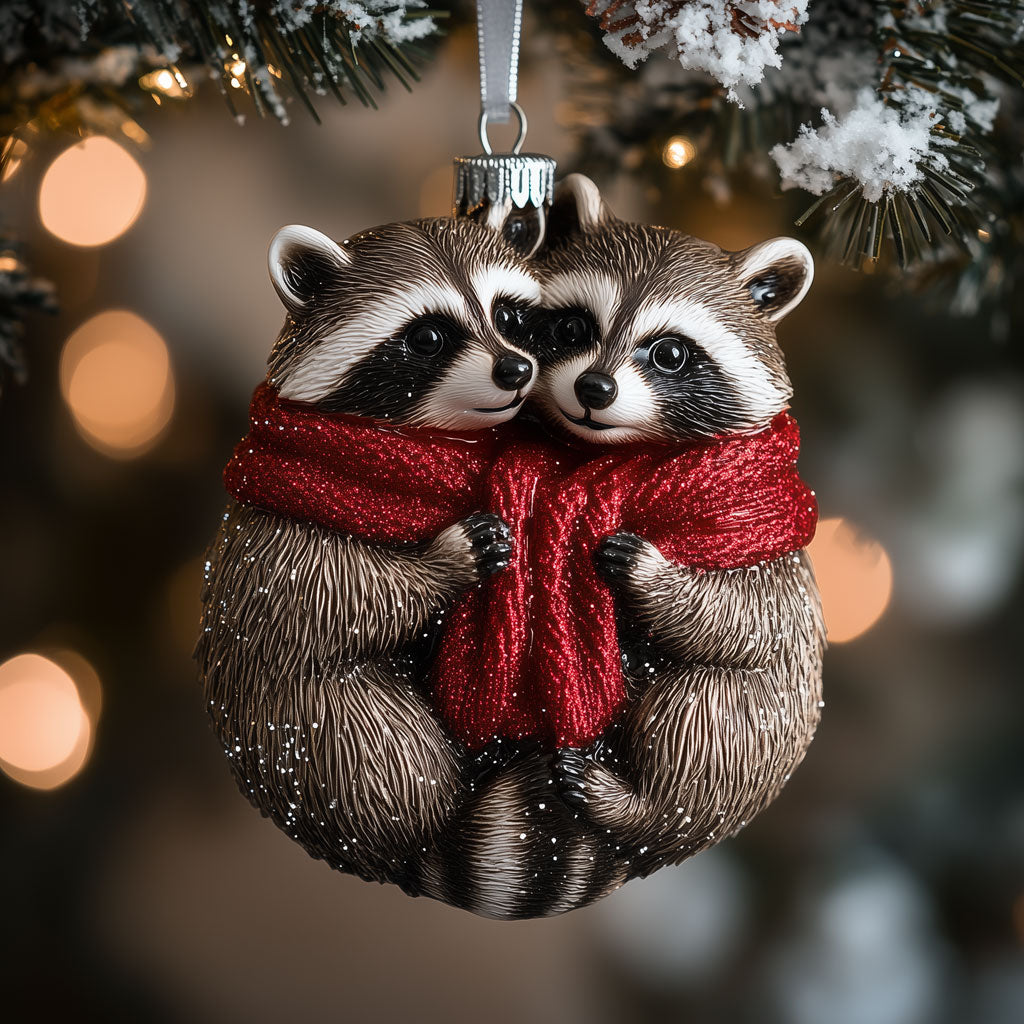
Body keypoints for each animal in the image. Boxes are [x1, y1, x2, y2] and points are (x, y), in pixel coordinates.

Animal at [196, 215, 545, 892]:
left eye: (510, 315)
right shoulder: (291, 536)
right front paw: (442, 562)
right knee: (395, 753)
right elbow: (346, 602)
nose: (516, 369)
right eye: (429, 336)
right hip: (322, 739)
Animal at [531, 174, 826, 879]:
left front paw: (651, 571)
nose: (594, 387)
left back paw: (639, 806)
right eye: (572, 325)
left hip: (746, 734)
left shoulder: (760, 547)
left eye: (669, 352)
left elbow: (739, 620)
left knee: (693, 715)